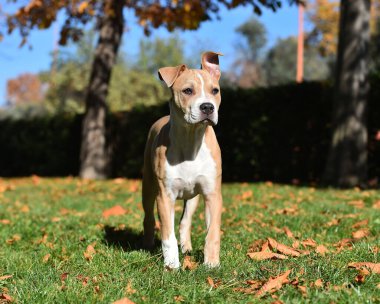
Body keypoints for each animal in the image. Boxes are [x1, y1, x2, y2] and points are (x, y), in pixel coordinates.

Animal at [142, 51, 223, 268]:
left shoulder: (212, 194)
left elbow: (212, 232)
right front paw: (172, 265)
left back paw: (186, 248)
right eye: (187, 90)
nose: (207, 107)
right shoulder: (165, 196)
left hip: (193, 196)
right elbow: (167, 235)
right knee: (149, 217)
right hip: (148, 186)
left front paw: (212, 263)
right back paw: (147, 245)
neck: (191, 139)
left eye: (215, 90)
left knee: (184, 222)